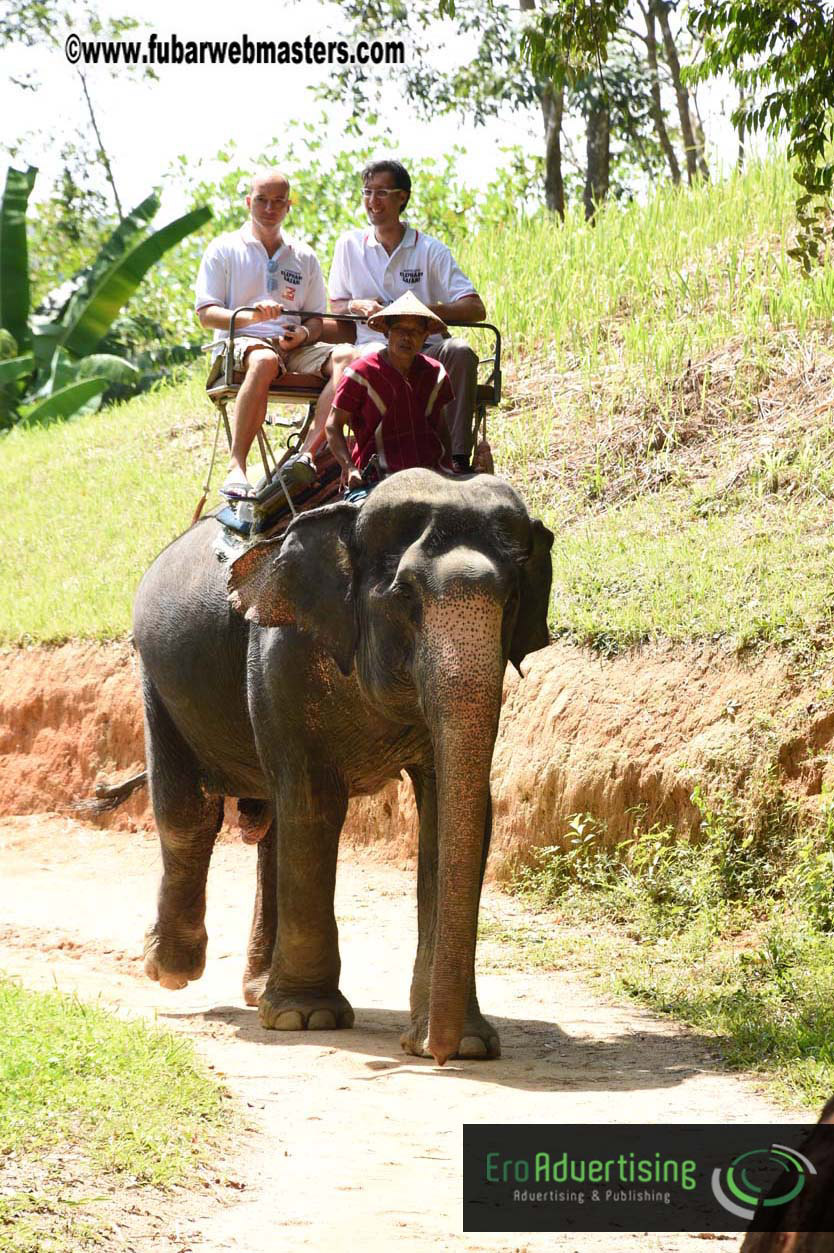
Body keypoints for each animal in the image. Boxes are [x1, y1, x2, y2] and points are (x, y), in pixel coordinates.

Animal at [132, 468, 553, 1065]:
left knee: (270, 825)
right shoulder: (281, 653)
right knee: (189, 811)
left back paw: (257, 990)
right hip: (158, 677)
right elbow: (314, 804)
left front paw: (465, 1043)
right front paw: (305, 1019)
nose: (441, 1054)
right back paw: (170, 969)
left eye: (513, 598)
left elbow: (449, 815)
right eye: (404, 596)